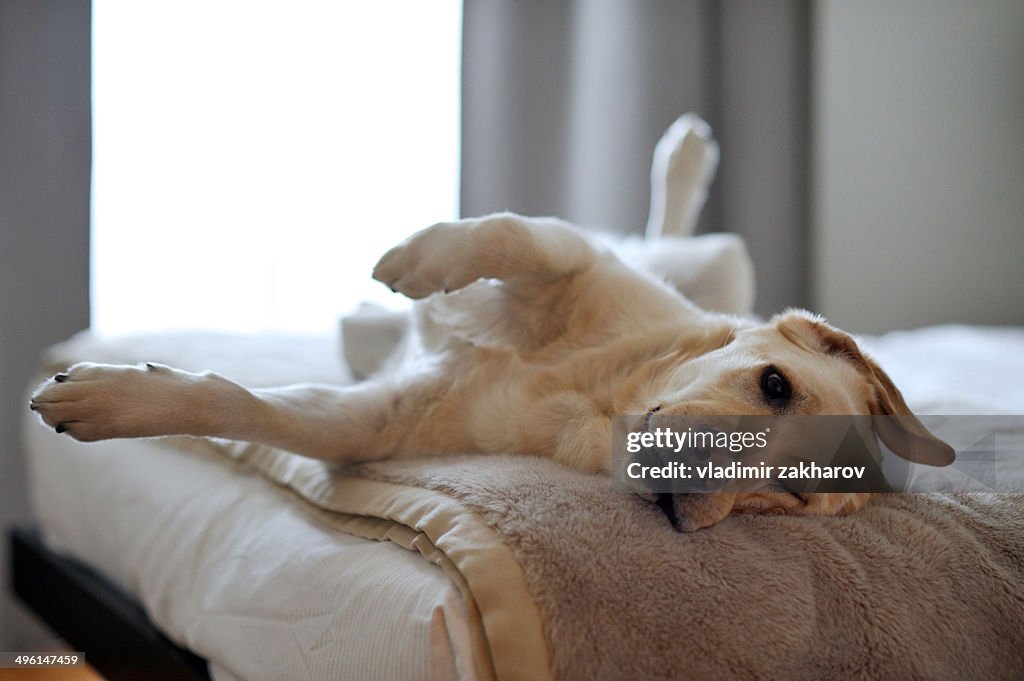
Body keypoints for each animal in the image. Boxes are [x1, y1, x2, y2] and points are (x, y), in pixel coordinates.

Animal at [29, 114, 950, 528]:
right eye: (773, 384)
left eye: (793, 493)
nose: (684, 495)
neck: (592, 392)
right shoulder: (578, 260)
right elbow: (511, 233)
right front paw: (421, 260)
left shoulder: (376, 422)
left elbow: (239, 404)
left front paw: (107, 400)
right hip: (717, 259)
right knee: (657, 229)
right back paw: (685, 154)